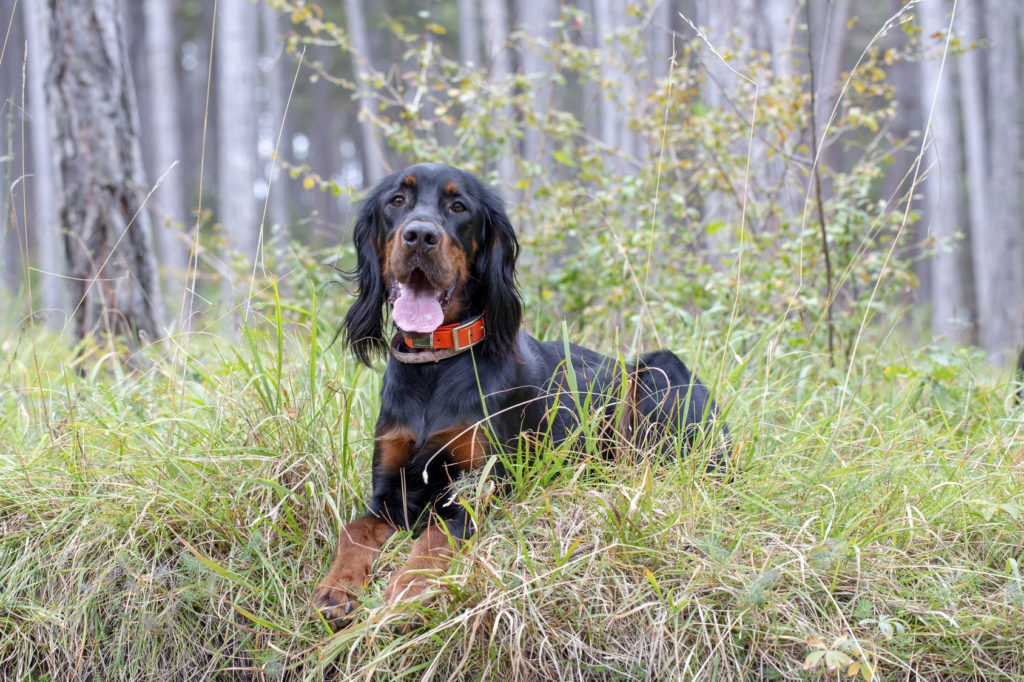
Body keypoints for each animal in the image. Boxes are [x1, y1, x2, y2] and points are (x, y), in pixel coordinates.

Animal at [311, 164, 729, 622]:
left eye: (459, 207)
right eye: (396, 201)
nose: (420, 235)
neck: (436, 364)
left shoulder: (483, 488)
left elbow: (436, 536)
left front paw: (407, 591)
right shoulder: (390, 489)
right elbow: (354, 529)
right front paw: (337, 588)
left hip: (656, 374)